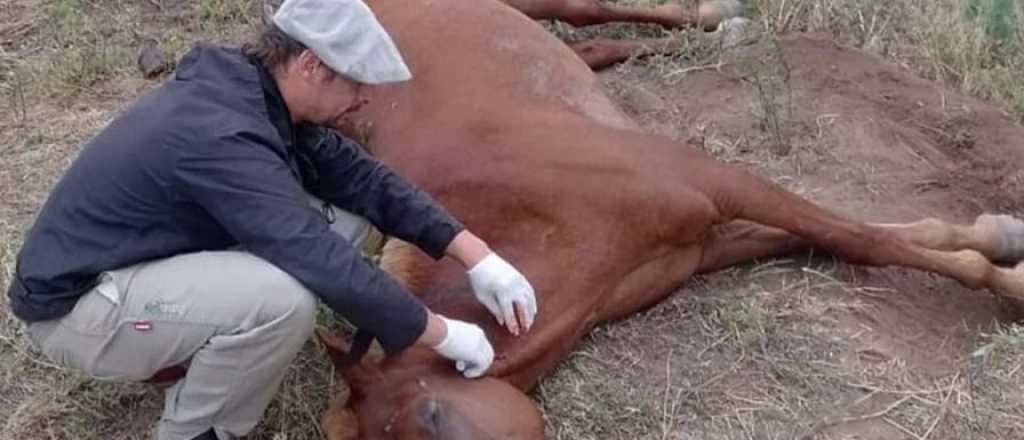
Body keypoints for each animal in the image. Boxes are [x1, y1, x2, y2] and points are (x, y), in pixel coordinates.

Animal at [311, 0, 1024, 435]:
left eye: (432, 419)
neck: (536, 209)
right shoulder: (705, 239)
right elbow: (859, 238)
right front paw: (997, 241)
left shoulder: (713, 183)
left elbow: (856, 236)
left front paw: (1008, 268)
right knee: (597, 40)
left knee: (585, 11)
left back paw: (723, 19)